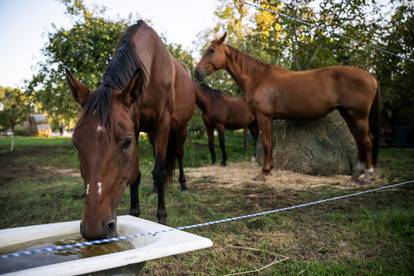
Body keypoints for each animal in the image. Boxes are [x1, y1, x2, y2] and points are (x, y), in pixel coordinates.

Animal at [66, 20, 196, 239]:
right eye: (76, 143)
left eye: (126, 143)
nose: (94, 229)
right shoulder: (135, 124)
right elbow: (136, 173)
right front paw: (135, 213)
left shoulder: (162, 123)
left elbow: (159, 171)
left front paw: (162, 216)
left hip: (180, 129)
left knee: (178, 155)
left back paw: (183, 184)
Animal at [196, 33, 380, 182]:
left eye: (211, 50)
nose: (197, 72)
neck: (258, 78)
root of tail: (371, 77)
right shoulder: (267, 119)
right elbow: (270, 143)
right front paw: (269, 170)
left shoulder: (264, 117)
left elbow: (267, 143)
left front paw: (263, 173)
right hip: (348, 115)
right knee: (358, 140)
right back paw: (358, 173)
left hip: (358, 116)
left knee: (367, 140)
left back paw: (368, 174)